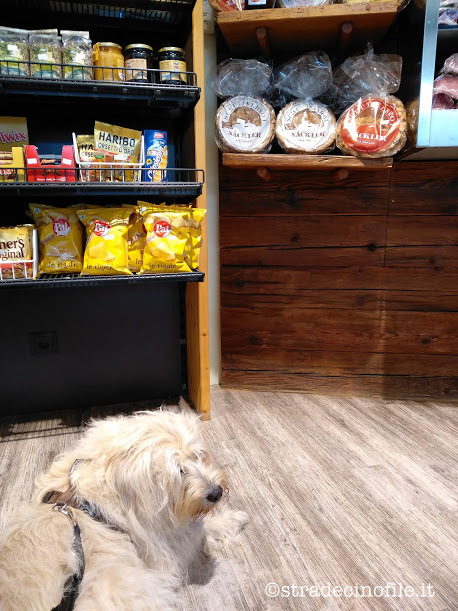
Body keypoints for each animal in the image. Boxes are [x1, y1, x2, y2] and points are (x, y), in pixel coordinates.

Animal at [0, 406, 249, 611]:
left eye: (198, 456)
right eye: (178, 471)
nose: (216, 493)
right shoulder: (164, 547)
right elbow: (200, 529)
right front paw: (229, 520)